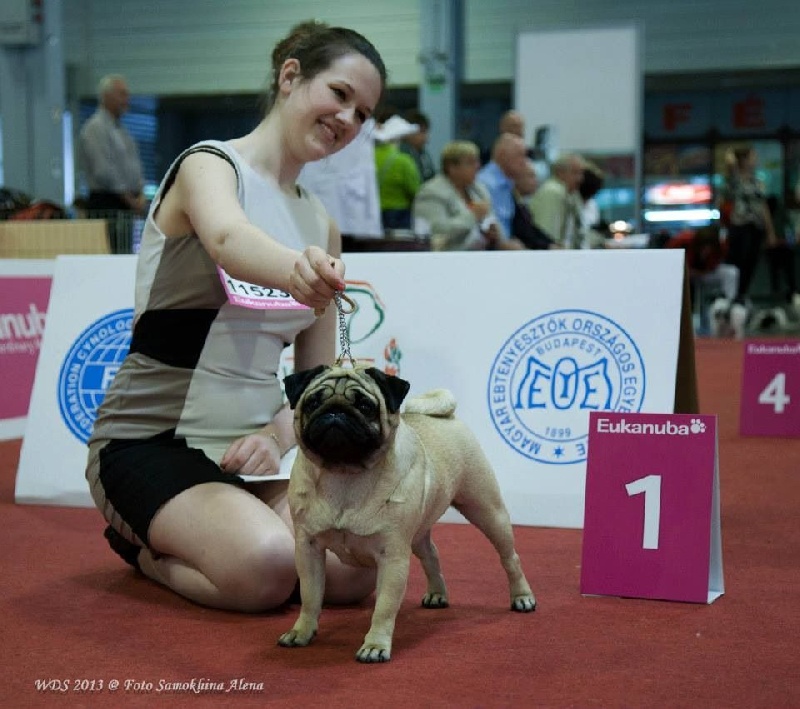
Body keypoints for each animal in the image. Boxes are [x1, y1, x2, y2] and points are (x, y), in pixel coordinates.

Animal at [278, 366, 536, 664]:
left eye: (365, 406)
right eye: (313, 402)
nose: (336, 411)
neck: (343, 475)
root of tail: (447, 417)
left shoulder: (392, 557)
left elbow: (384, 608)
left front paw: (375, 645)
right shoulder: (308, 549)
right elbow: (310, 597)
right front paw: (301, 632)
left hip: (487, 510)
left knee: (510, 558)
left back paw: (522, 597)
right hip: (419, 533)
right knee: (431, 554)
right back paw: (437, 594)